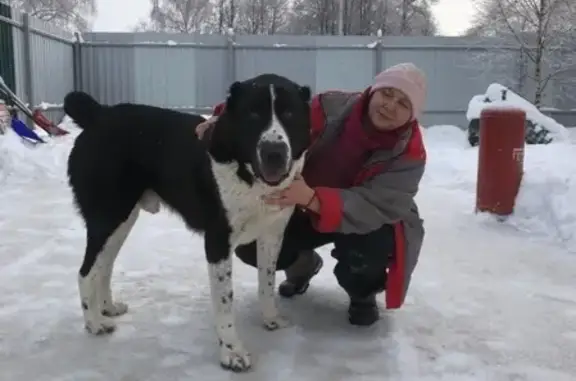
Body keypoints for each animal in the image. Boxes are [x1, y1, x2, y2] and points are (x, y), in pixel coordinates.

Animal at [64, 74, 310, 372]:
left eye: (289, 114)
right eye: (252, 114)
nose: (274, 152)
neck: (248, 174)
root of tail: (98, 114)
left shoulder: (272, 235)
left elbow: (267, 282)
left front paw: (270, 319)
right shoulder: (217, 242)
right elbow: (225, 302)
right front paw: (232, 352)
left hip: (123, 218)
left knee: (104, 265)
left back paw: (106, 308)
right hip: (107, 215)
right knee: (85, 271)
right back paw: (94, 323)